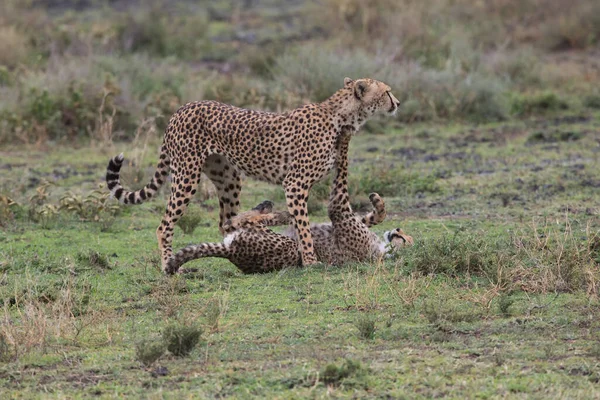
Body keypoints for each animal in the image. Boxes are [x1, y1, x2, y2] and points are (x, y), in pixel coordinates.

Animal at [166, 133, 414, 274]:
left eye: (405, 240)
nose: (397, 230)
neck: (381, 251)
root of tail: (232, 253)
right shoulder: (351, 221)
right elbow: (371, 217)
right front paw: (378, 203)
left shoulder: (340, 214)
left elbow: (340, 183)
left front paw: (343, 140)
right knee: (235, 222)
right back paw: (268, 207)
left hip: (286, 245)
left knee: (240, 223)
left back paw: (275, 211)